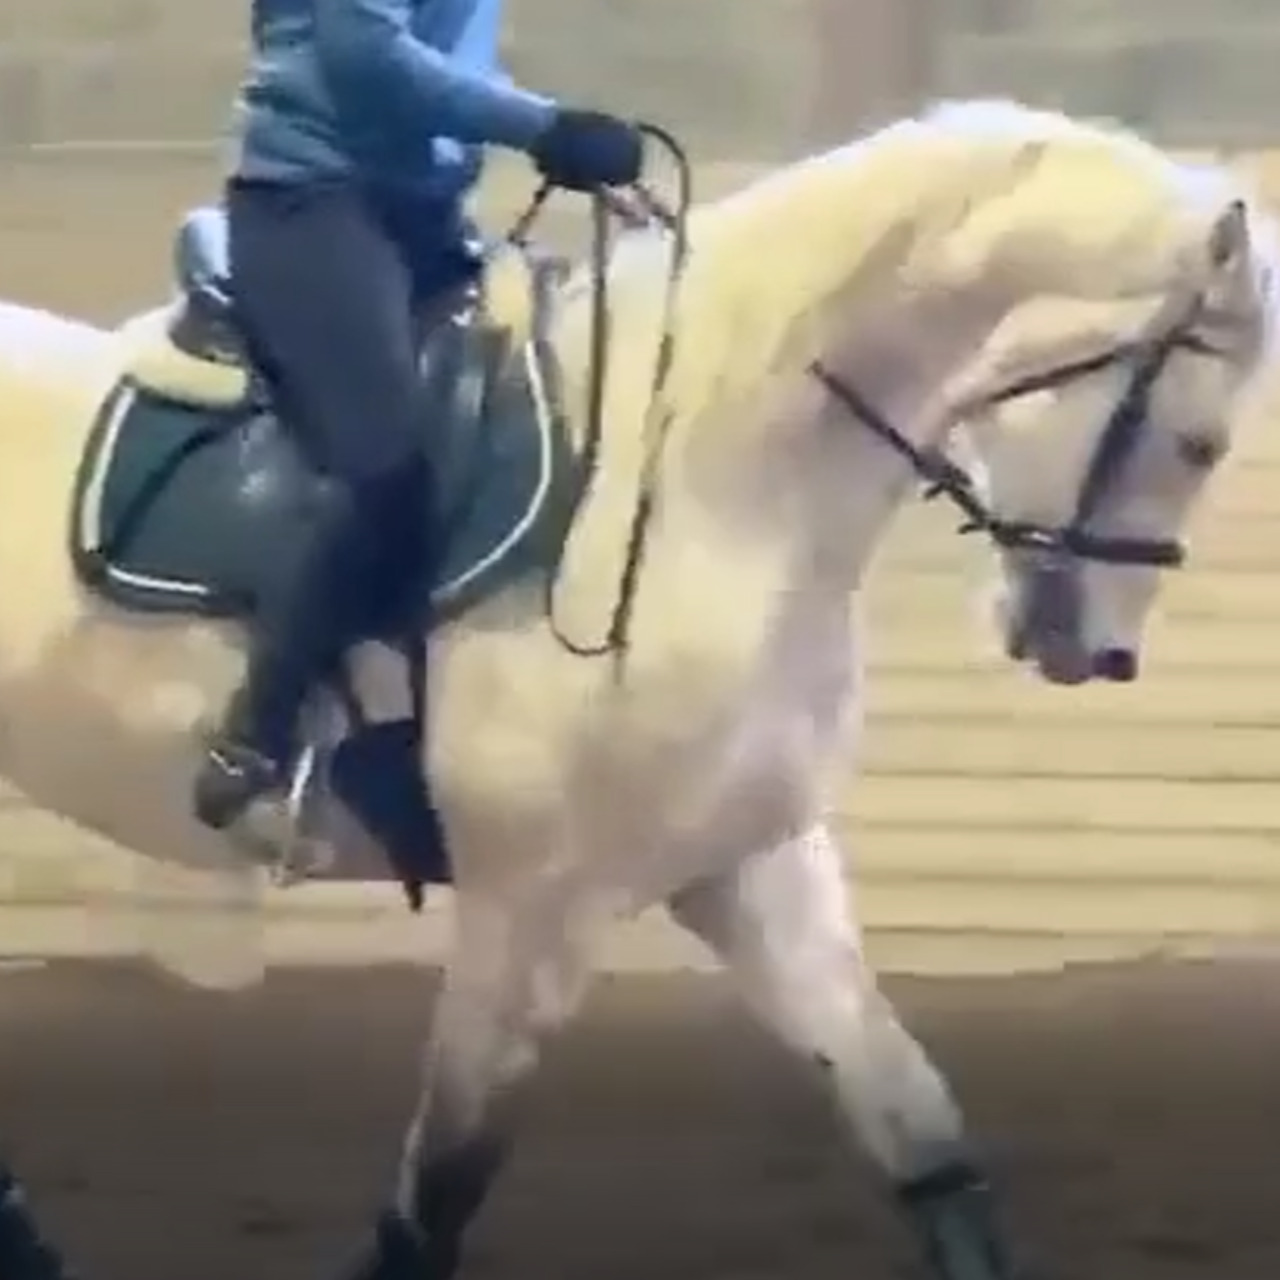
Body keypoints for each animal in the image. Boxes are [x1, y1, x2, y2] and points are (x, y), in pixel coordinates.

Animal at [0, 97, 1275, 1280]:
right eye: (1197, 444)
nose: (1092, 649)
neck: (714, 477)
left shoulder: (752, 860)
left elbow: (921, 1138)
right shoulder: (534, 903)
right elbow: (434, 1202)